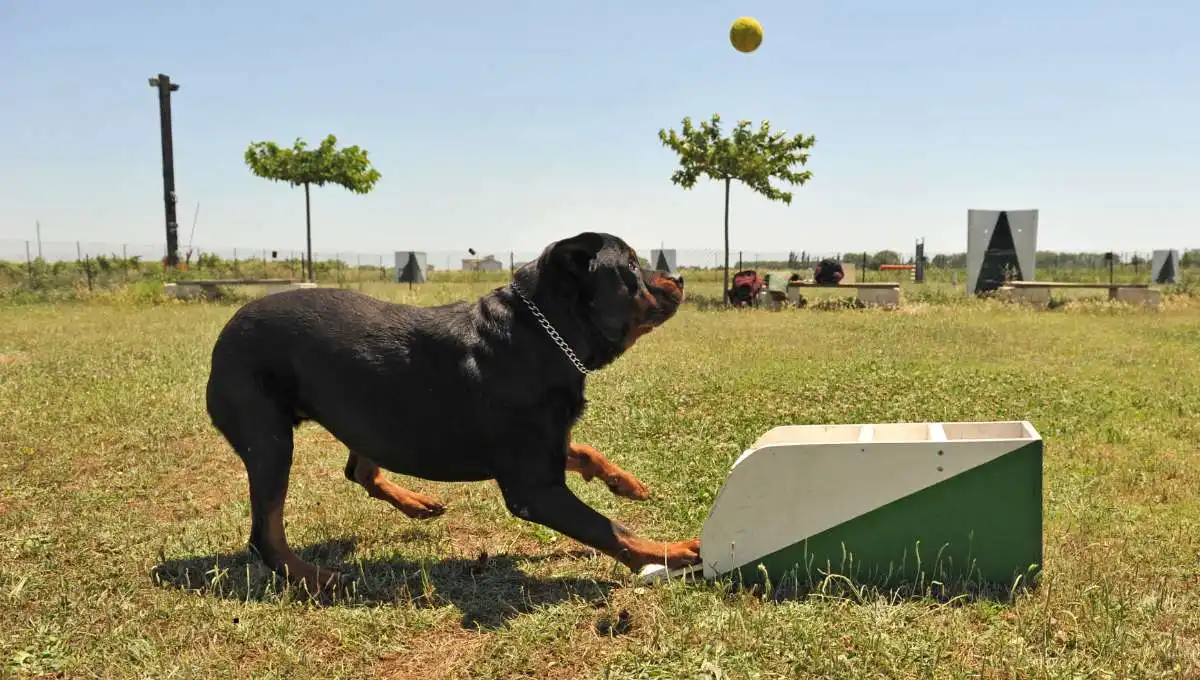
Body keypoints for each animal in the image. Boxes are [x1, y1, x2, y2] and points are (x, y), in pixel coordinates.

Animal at [201, 230, 700, 590]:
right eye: (631, 266)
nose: (679, 279)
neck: (543, 336)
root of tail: (222, 337)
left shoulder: (547, 448)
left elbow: (587, 453)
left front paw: (626, 483)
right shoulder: (534, 487)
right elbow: (611, 530)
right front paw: (675, 550)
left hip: (368, 415)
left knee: (360, 469)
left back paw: (415, 502)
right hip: (269, 439)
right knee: (266, 535)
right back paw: (318, 578)